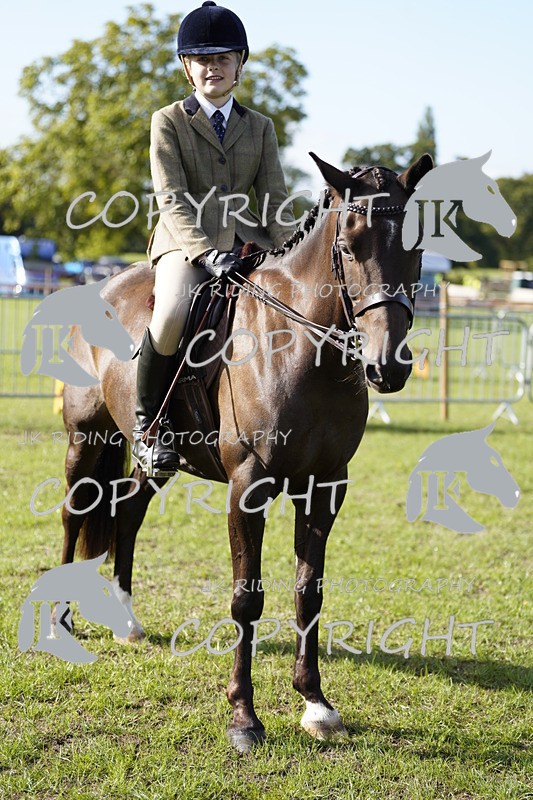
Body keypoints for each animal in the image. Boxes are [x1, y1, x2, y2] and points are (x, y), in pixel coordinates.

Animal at [57, 152, 433, 751]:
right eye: (349, 247)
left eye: (416, 248)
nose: (387, 367)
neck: (305, 350)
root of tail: (104, 285)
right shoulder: (248, 487)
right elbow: (246, 597)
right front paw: (243, 717)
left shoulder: (326, 485)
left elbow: (308, 591)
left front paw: (316, 704)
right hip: (85, 438)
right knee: (74, 513)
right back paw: (61, 620)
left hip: (155, 459)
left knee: (129, 512)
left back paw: (128, 621)